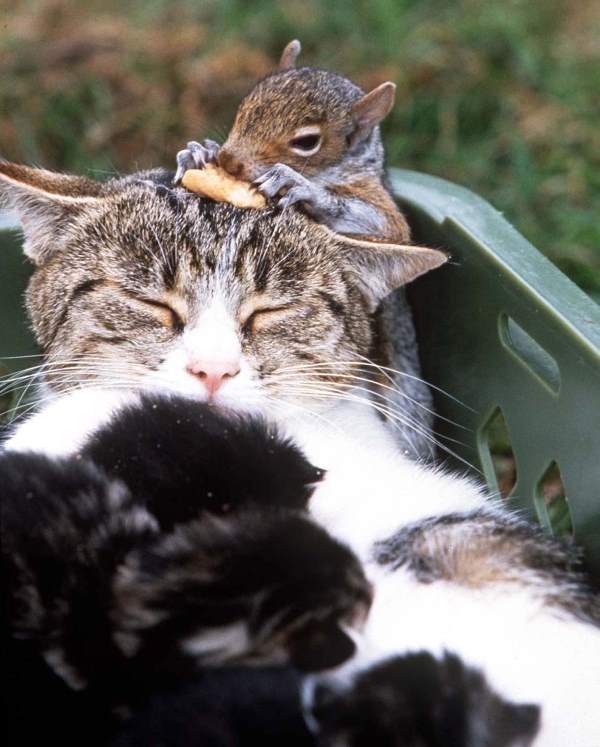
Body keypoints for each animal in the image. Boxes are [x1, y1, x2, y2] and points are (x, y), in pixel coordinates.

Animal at [171, 40, 410, 243]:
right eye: (243, 106)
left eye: (307, 142)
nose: (228, 161)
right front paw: (201, 152)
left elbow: (389, 225)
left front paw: (297, 183)